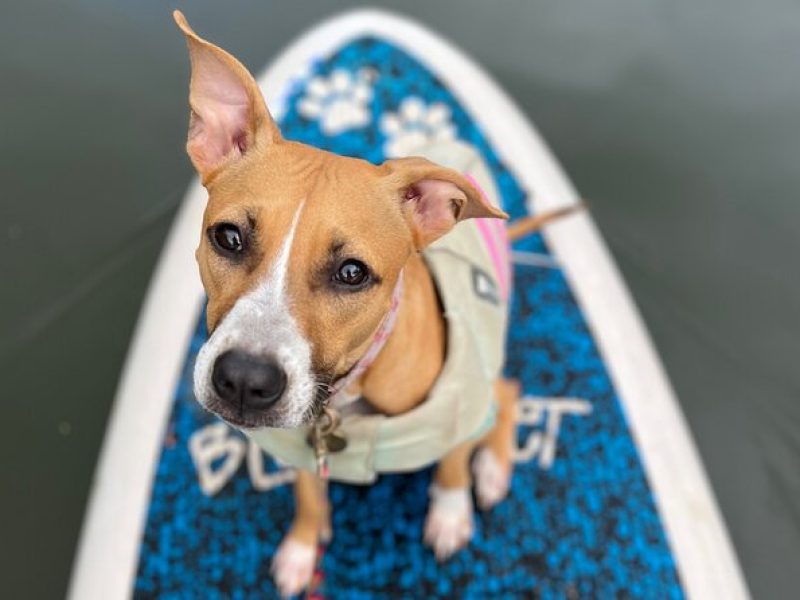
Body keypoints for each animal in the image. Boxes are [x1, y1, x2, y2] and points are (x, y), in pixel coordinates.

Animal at [173, 11, 568, 596]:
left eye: (352, 273)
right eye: (228, 238)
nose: (243, 381)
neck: (346, 398)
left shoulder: (456, 406)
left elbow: (452, 464)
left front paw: (450, 515)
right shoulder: (298, 445)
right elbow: (308, 495)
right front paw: (303, 547)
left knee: (509, 393)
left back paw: (493, 469)